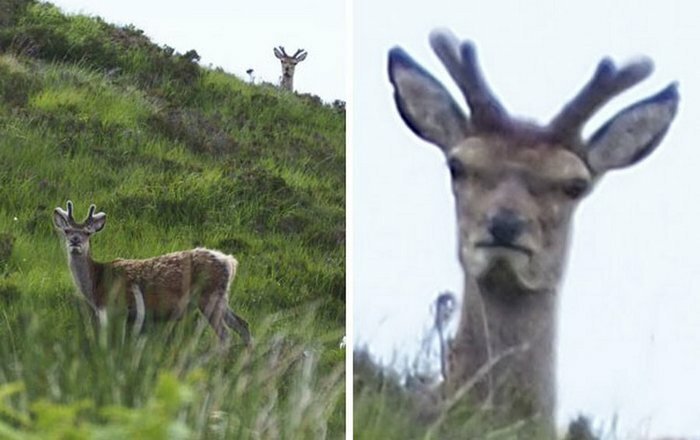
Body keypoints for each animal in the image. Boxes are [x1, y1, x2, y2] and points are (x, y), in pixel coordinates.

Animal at [53, 200, 253, 348]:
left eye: (88, 233)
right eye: (67, 230)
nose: (75, 241)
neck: (96, 282)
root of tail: (229, 261)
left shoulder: (115, 309)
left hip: (209, 296)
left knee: (225, 334)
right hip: (221, 297)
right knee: (243, 325)